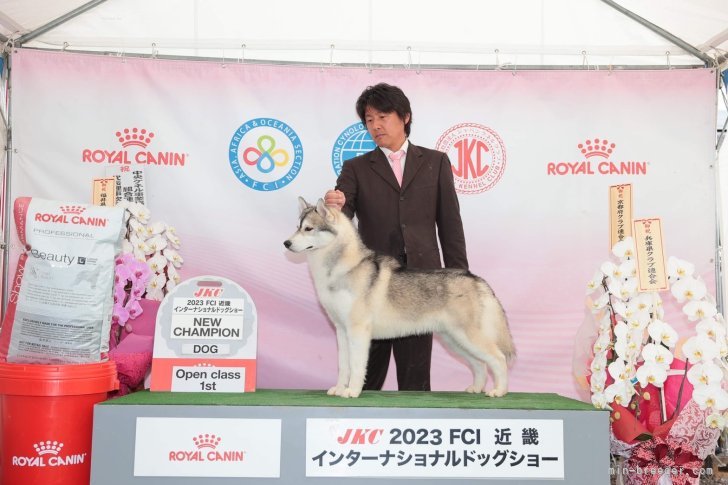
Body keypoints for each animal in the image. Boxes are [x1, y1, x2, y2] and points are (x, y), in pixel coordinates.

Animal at [284, 197, 515, 398]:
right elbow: (343, 366)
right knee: (480, 364)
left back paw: (499, 391)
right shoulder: (341, 330)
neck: (341, 269)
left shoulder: (358, 331)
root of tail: (475, 278)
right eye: (297, 226)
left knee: (498, 358)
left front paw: (352, 392)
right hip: (455, 340)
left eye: (308, 229)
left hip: (467, 337)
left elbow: (357, 366)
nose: (286, 243)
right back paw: (476, 388)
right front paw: (340, 389)